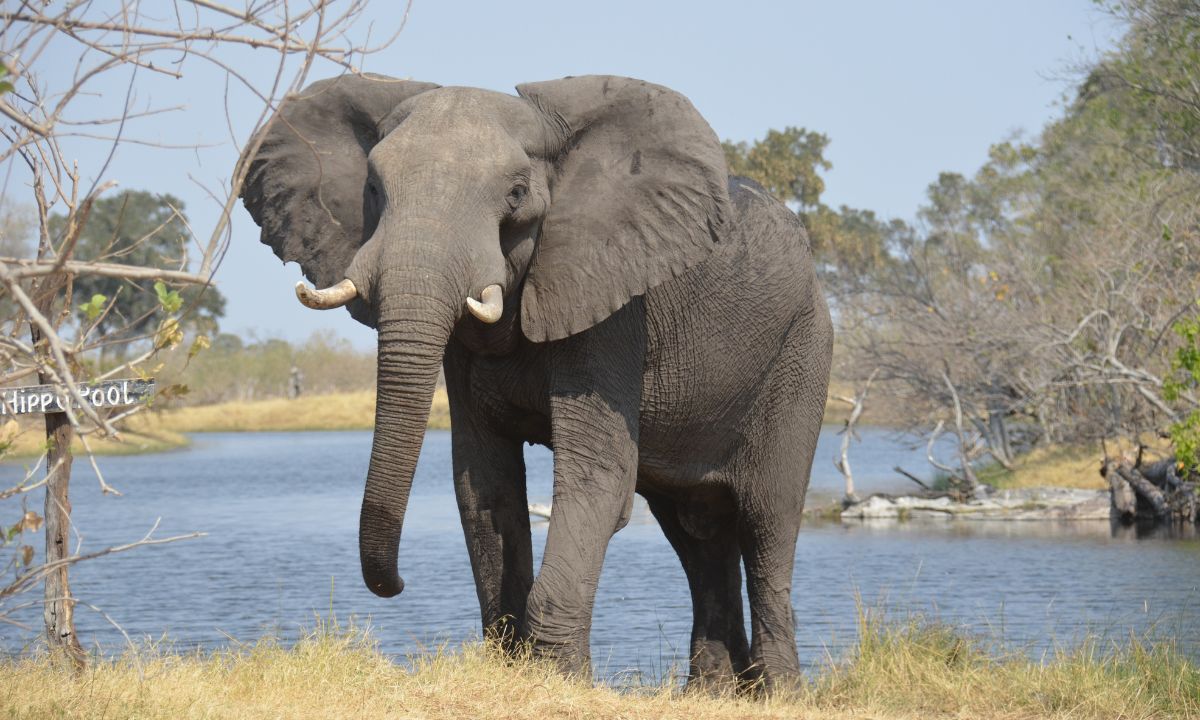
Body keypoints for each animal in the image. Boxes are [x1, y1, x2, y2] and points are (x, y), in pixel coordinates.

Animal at [238, 74, 830, 691]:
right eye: (373, 188)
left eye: (516, 193)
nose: (397, 585)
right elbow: (483, 482)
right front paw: (514, 665)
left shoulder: (612, 304)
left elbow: (599, 478)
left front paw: (562, 678)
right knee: (697, 531)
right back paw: (715, 692)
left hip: (803, 350)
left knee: (768, 519)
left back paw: (779, 692)